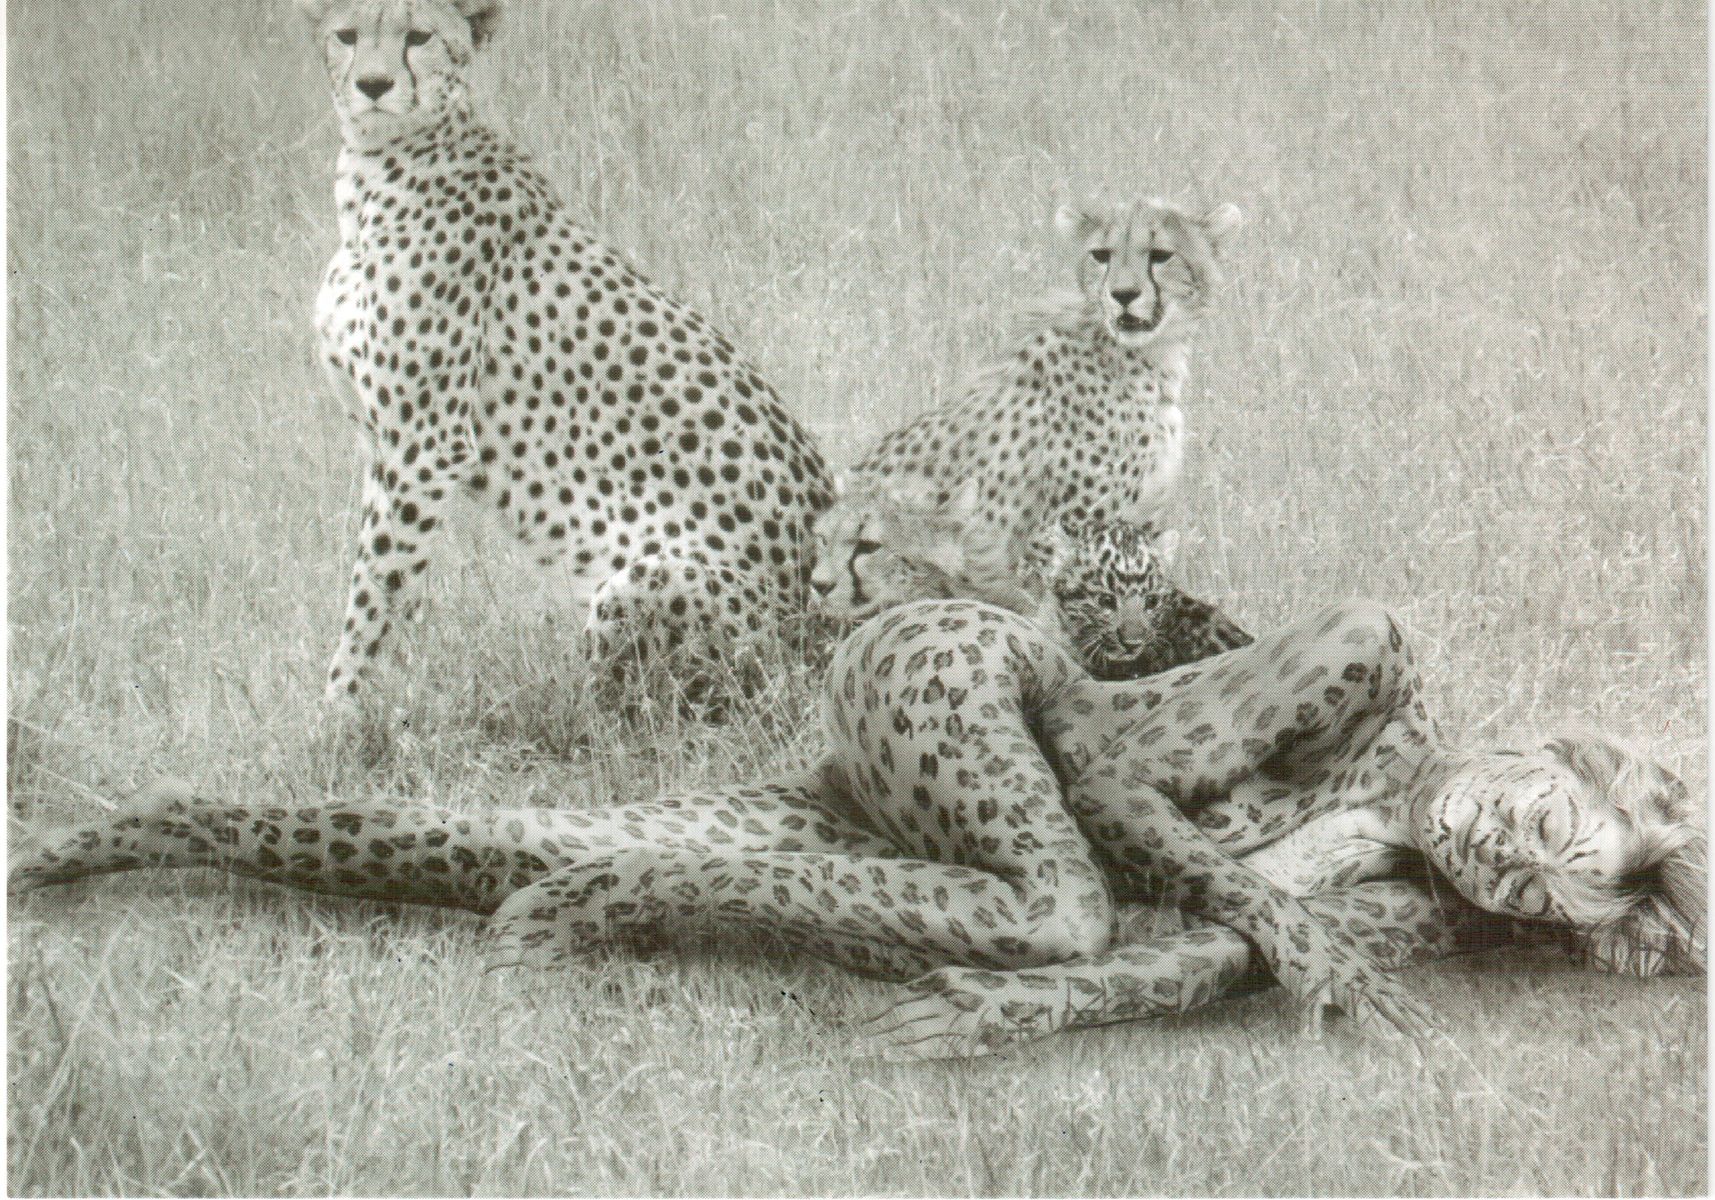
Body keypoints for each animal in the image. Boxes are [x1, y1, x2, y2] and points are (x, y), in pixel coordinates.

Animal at [15, 600, 1702, 1059]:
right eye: (1548, 820)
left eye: (1552, 884)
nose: (1511, 853)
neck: (1415, 803)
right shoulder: (1360, 654)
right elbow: (1146, 798)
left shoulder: (1417, 901)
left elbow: (1175, 955)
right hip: (933, 671)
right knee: (1055, 884)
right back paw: (587, 893)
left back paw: (593, 893)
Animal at [300, 0, 833, 703]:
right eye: (347, 35)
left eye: (418, 36)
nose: (374, 85)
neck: (375, 169)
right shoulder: (387, 443)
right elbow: (396, 585)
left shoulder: (426, 443)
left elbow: (373, 592)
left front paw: (340, 712)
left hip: (647, 584)